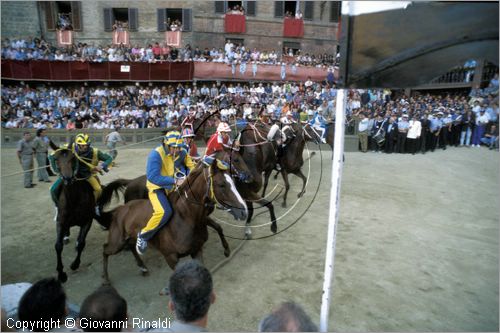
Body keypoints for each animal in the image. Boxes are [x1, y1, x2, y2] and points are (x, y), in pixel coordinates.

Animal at [51, 141, 97, 282]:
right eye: (56, 159)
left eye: (73, 158)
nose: (68, 178)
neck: (73, 199)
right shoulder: (60, 221)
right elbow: (58, 245)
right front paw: (61, 273)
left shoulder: (87, 220)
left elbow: (81, 243)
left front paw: (75, 264)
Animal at [98, 156, 247, 282]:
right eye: (221, 184)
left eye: (233, 182)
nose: (244, 210)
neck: (184, 218)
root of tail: (119, 209)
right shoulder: (171, 258)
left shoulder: (197, 250)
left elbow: (218, 227)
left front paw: (226, 250)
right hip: (116, 243)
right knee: (105, 249)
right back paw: (105, 278)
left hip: (128, 237)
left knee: (130, 245)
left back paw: (143, 267)